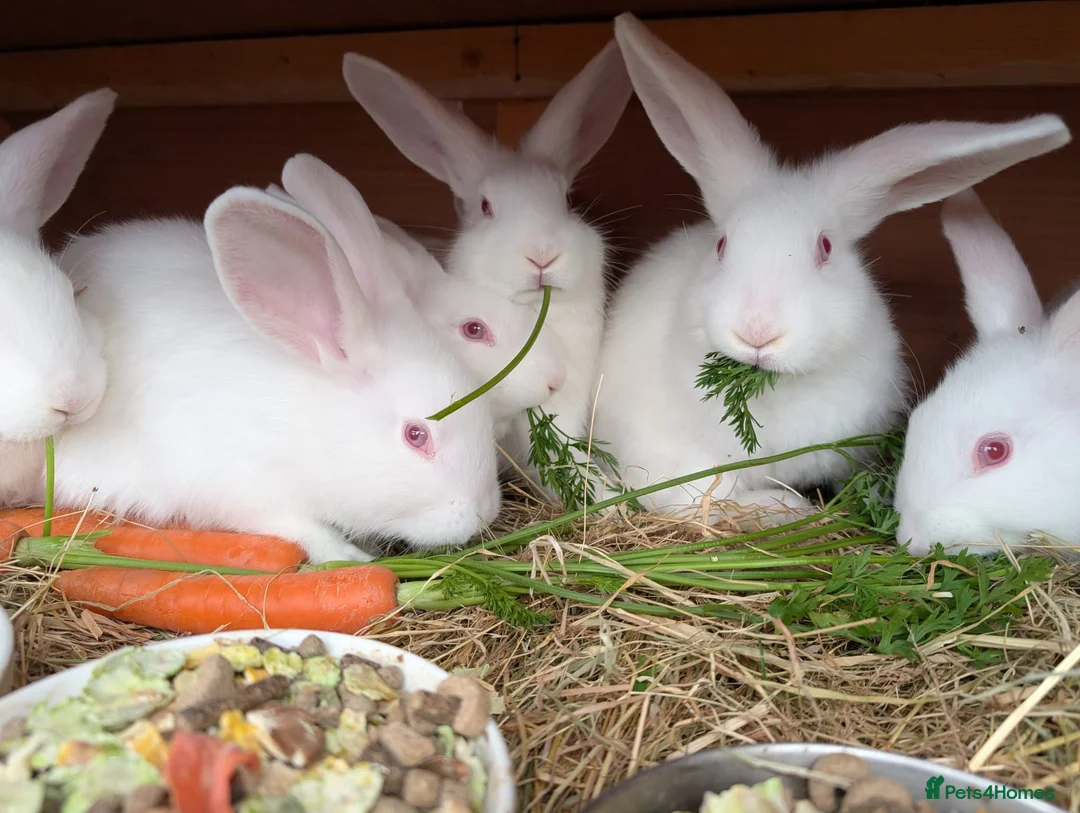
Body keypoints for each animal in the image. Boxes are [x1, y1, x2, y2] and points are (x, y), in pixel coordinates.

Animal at [53, 153, 503, 563]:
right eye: (416, 435)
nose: (483, 512)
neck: (306, 423)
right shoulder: (239, 485)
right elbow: (300, 527)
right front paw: (352, 557)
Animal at [593, 12, 1072, 520]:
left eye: (824, 248)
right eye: (721, 245)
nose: (757, 331)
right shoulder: (674, 460)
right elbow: (702, 497)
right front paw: (785, 507)